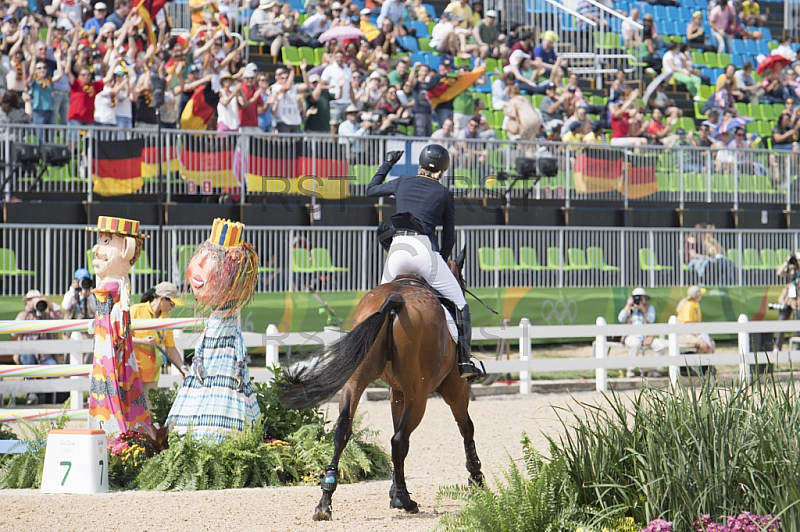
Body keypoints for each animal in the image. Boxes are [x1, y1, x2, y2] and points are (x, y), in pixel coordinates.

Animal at [278, 252, 484, 520]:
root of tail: (393, 301)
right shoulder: (454, 389)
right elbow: (466, 428)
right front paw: (476, 478)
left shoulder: (397, 393)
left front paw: (394, 487)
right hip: (419, 395)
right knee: (399, 440)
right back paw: (404, 500)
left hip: (356, 381)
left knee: (343, 430)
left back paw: (325, 501)